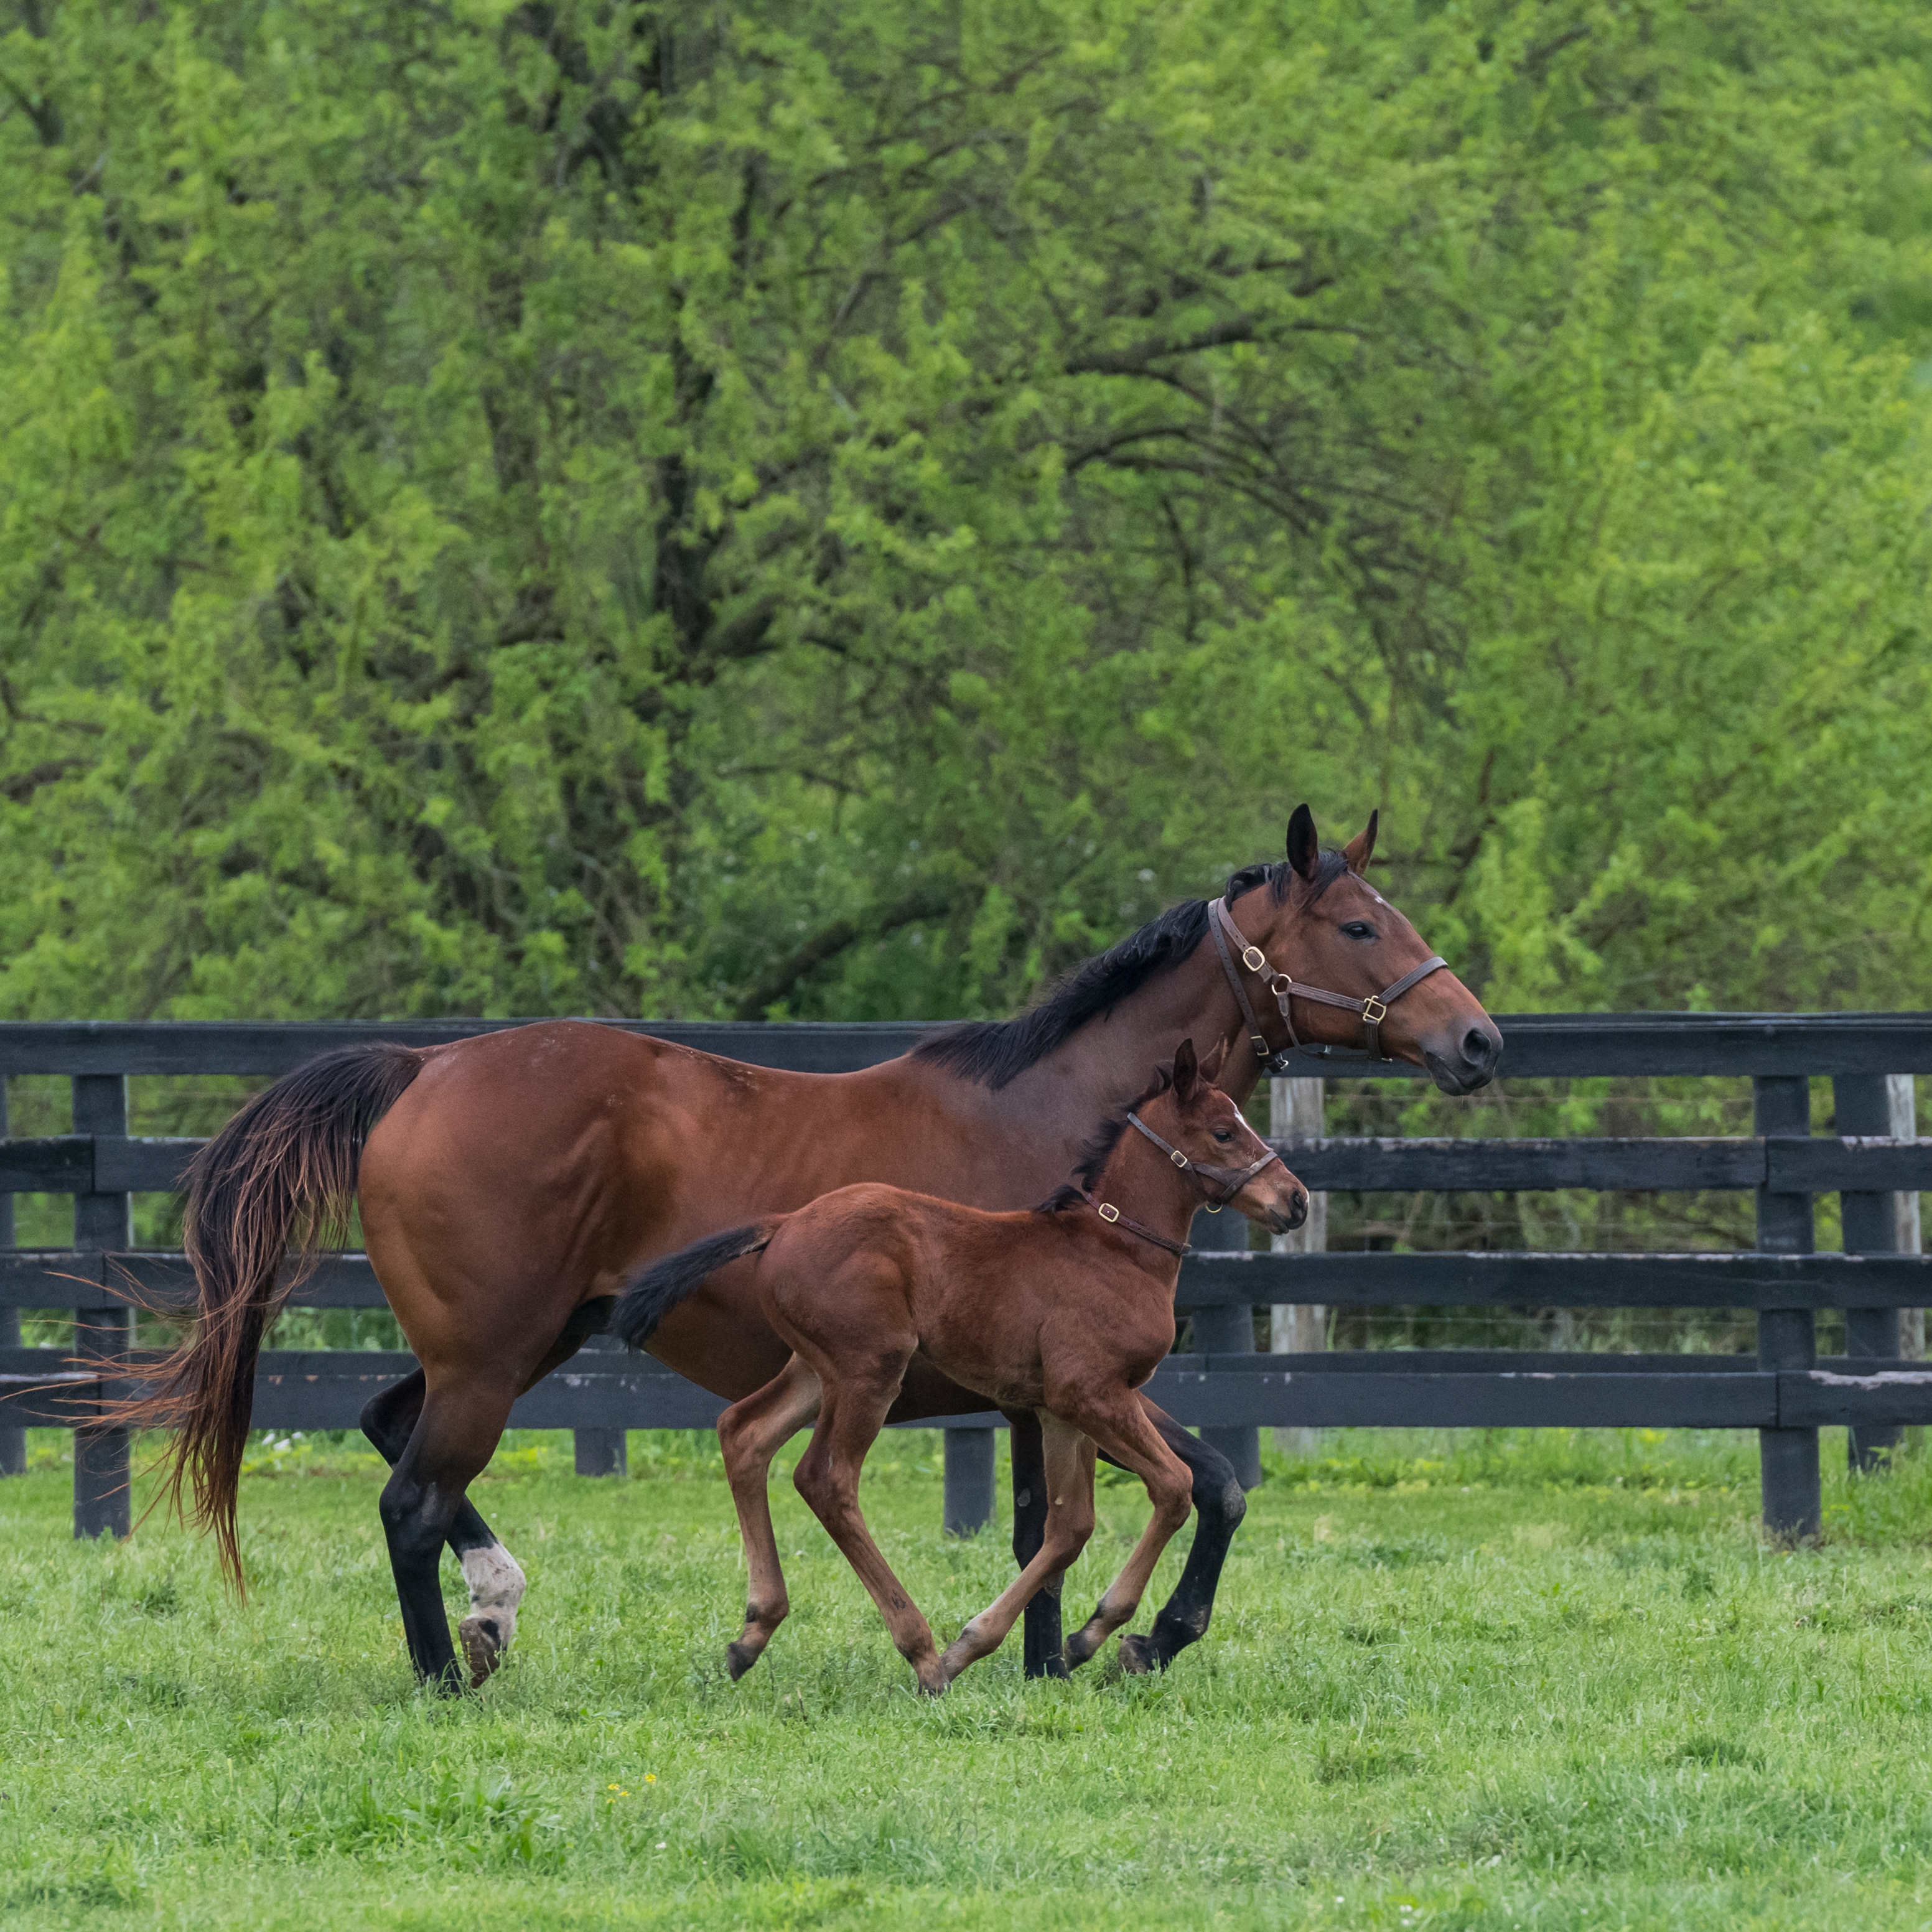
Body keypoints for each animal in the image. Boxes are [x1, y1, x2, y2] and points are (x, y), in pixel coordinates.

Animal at [614, 1037, 1309, 1693]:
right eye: (1224, 1131)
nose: (1296, 1200)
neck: (1115, 1248)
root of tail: (784, 1223)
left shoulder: (1060, 1410)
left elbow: (1070, 1527)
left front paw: (1020, 1643)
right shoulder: (1090, 1393)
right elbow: (1172, 1486)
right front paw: (1092, 1634)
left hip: (816, 1369)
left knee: (744, 1432)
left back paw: (752, 1635)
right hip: (871, 1368)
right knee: (826, 1478)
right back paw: (922, 1654)